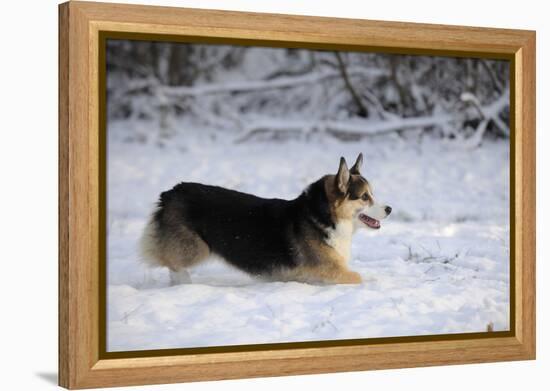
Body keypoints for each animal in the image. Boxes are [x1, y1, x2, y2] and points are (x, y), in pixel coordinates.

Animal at [141, 153, 392, 284]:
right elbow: (359, 278)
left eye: (373, 194)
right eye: (365, 197)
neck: (324, 216)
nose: (389, 209)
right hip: (196, 248)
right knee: (169, 261)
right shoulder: (331, 270)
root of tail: (170, 193)